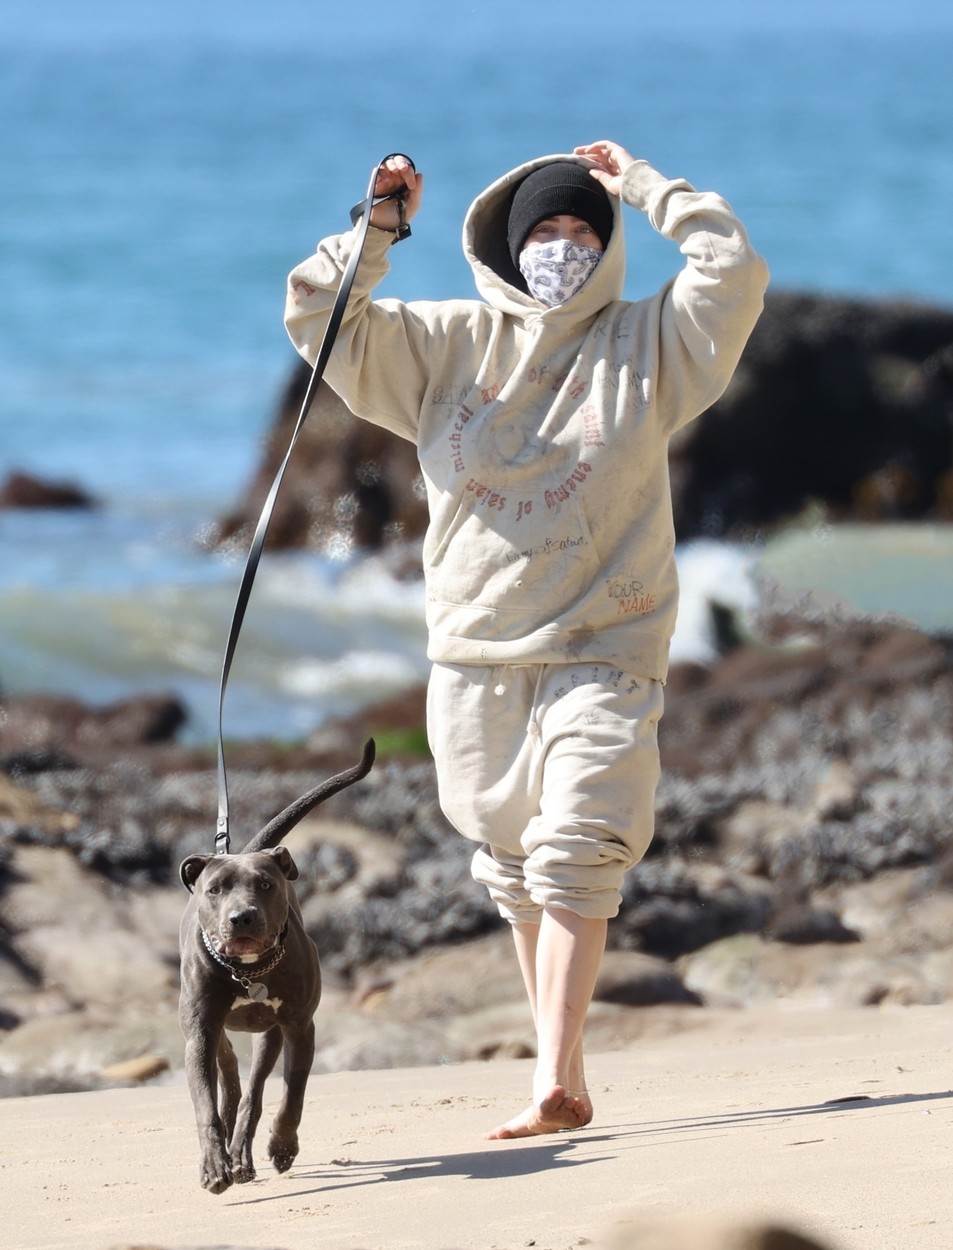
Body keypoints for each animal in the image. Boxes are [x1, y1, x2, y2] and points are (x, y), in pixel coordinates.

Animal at [180, 740, 372, 1190]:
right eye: (214, 890)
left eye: (266, 884)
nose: (242, 918)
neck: (246, 970)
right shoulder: (199, 1032)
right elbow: (204, 1105)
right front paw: (213, 1164)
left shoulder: (300, 1027)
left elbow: (292, 1096)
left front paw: (282, 1147)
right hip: (218, 1033)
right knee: (229, 1078)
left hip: (268, 1036)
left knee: (252, 1093)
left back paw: (242, 1156)